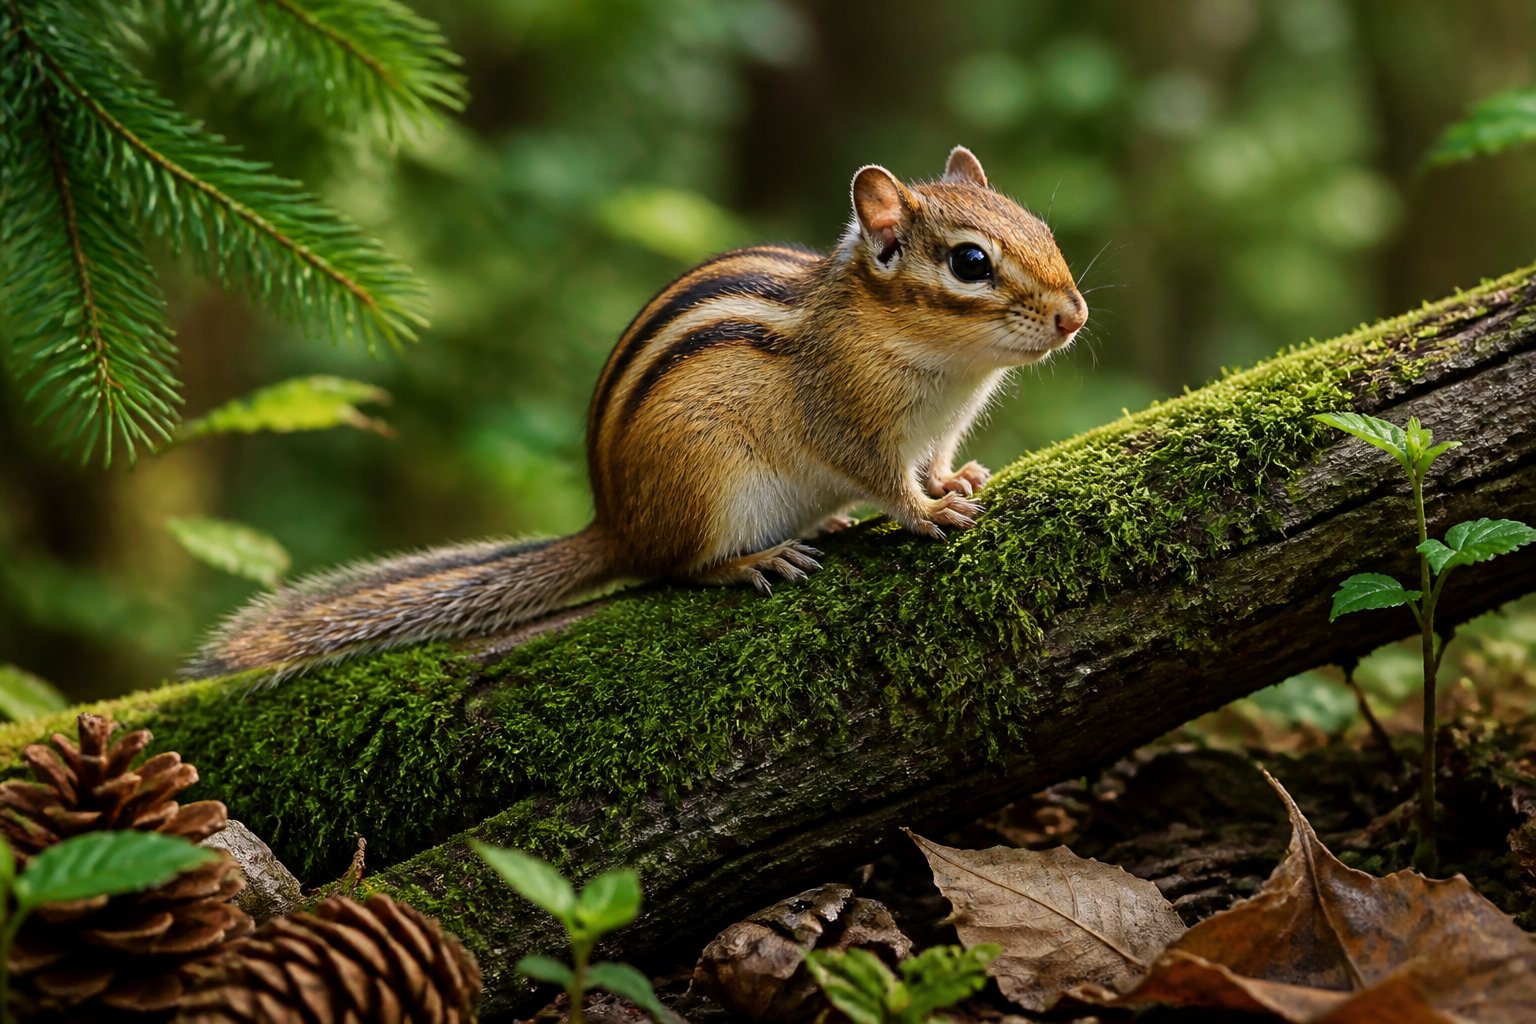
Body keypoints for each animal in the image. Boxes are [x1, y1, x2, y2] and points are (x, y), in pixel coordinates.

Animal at [189, 146, 1087, 678]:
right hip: (709, 483)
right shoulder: (847, 414)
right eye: (970, 262)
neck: (946, 369)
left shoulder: (937, 428)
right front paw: (925, 512)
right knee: (676, 566)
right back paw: (752, 560)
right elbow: (882, 477)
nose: (1074, 317)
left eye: (1043, 227)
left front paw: (956, 480)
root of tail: (617, 521)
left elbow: (934, 461)